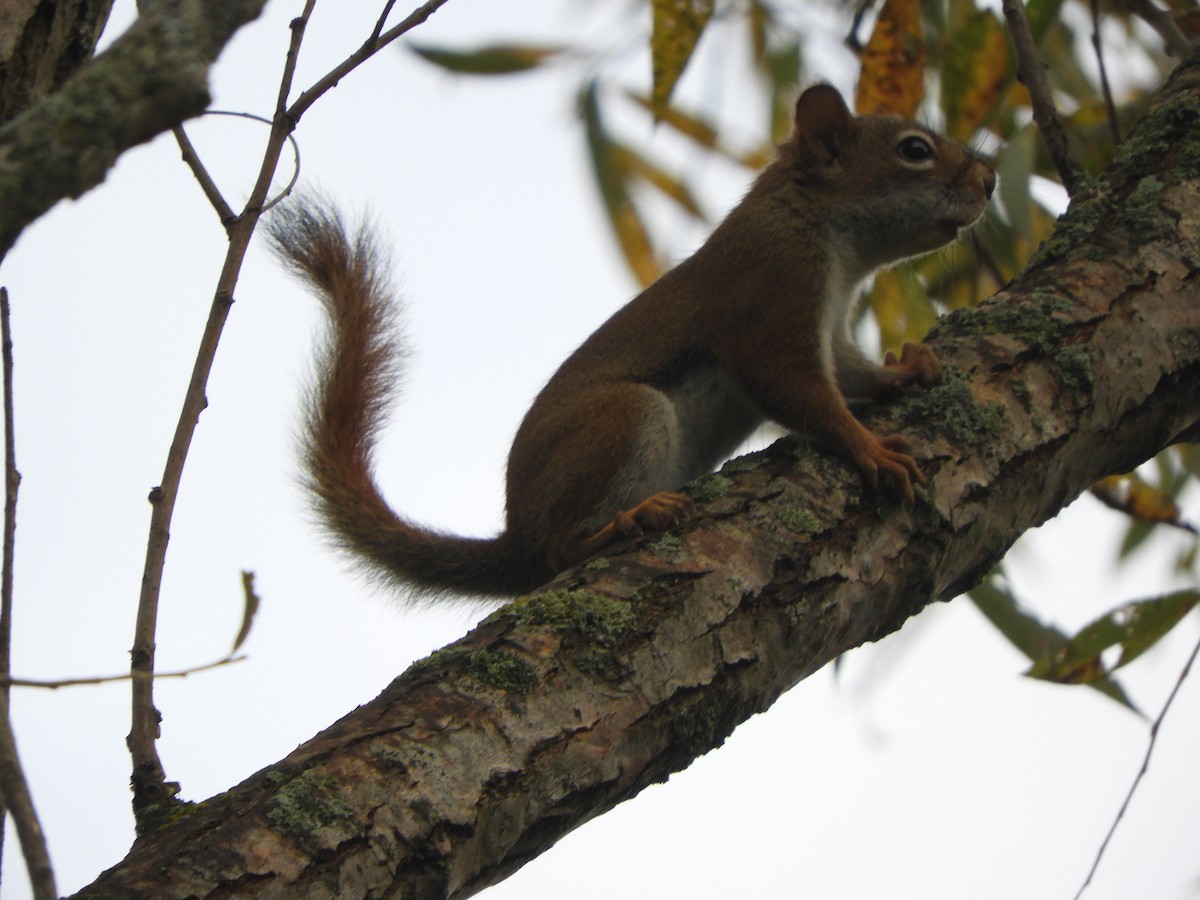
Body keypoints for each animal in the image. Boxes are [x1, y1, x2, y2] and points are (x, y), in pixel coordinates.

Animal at [268, 84, 995, 599]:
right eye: (914, 150)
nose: (989, 182)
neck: (819, 227)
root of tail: (516, 534)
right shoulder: (770, 291)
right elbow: (798, 390)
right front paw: (870, 447)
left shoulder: (829, 322)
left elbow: (848, 373)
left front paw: (907, 370)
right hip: (622, 418)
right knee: (560, 550)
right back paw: (624, 524)